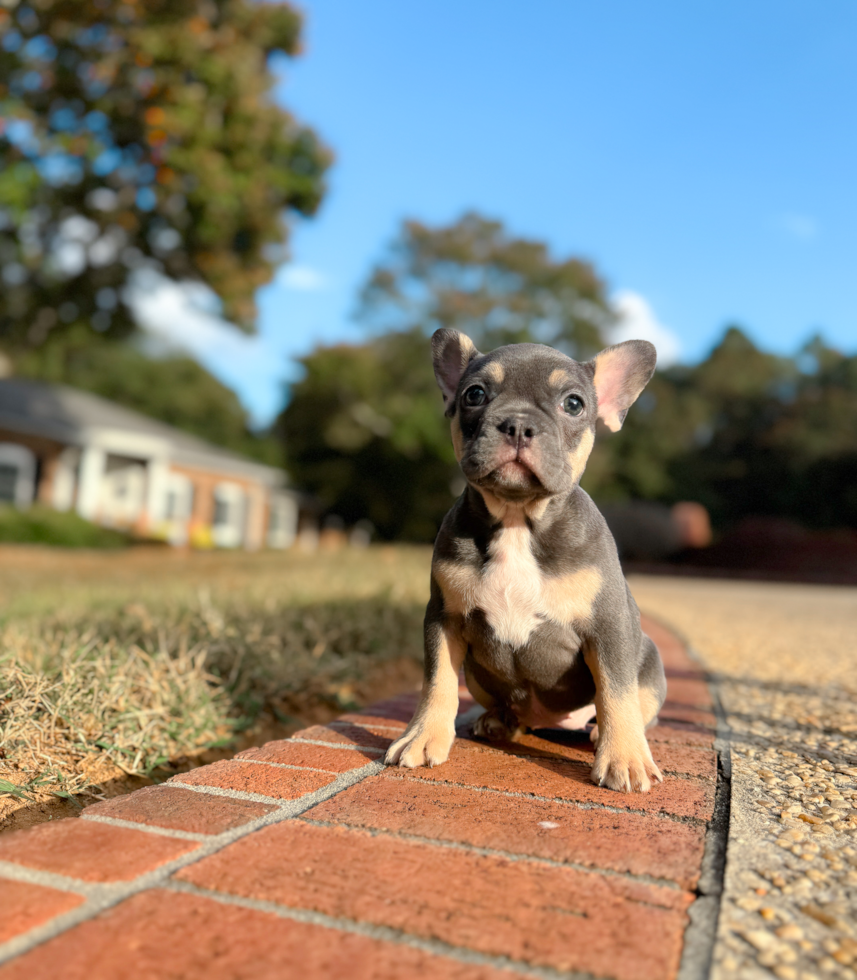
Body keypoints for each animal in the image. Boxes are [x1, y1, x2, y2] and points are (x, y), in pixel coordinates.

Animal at [384, 328, 664, 788]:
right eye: (475, 394)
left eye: (573, 403)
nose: (517, 423)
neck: (518, 519)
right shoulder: (443, 617)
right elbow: (437, 682)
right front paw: (422, 736)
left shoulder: (609, 626)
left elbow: (616, 691)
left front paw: (625, 757)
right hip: (478, 677)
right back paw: (499, 721)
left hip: (651, 664)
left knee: (634, 705)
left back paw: (601, 733)